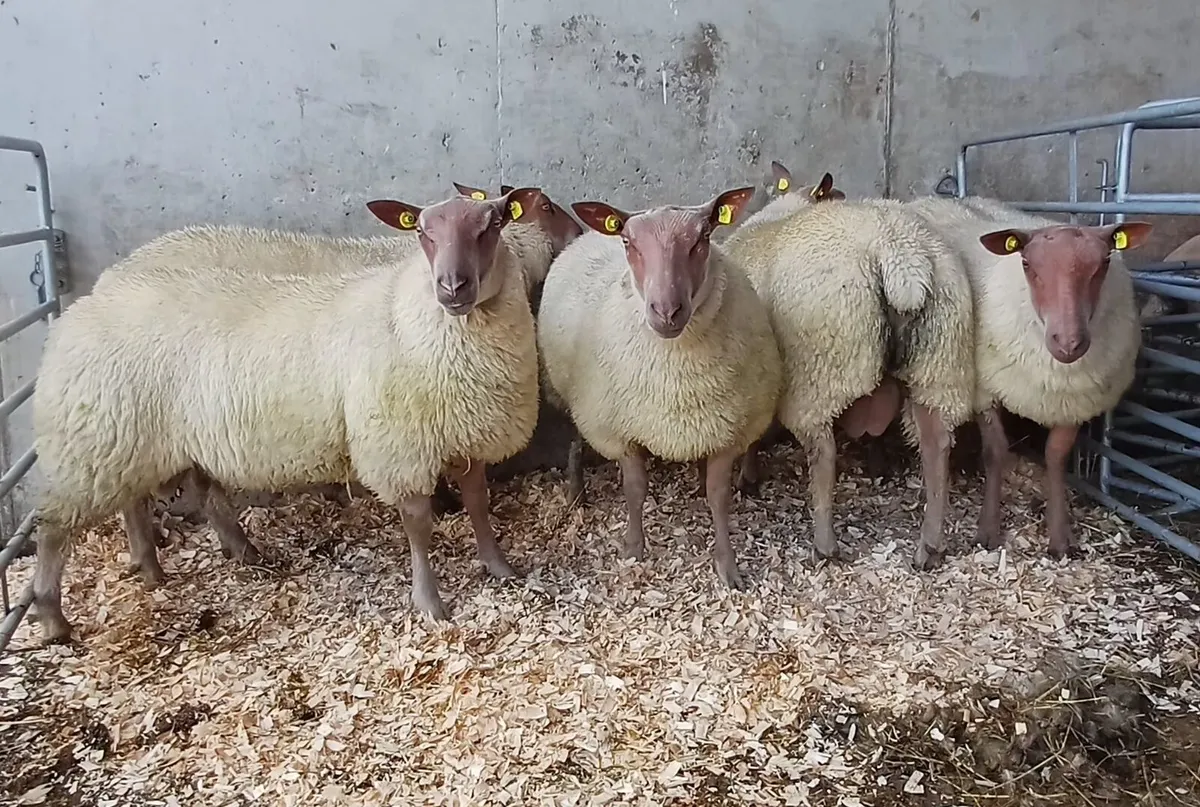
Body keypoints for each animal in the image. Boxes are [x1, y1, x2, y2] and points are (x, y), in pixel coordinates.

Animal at [29, 188, 547, 642]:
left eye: (492, 224)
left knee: (176, 495)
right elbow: (418, 526)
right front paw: (430, 602)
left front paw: (499, 567)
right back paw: (53, 615)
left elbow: (478, 502)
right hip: (94, 443)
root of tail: (84, 305)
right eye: (422, 231)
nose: (452, 287)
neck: (406, 315)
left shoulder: (466, 432)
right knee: (55, 529)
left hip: (140, 441)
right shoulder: (399, 447)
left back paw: (198, 560)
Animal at [537, 186, 783, 587]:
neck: (676, 374)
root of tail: (586, 236)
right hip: (574, 396)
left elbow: (718, 496)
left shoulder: (725, 430)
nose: (666, 311)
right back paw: (575, 492)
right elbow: (635, 490)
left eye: (703, 237)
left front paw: (727, 565)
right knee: (575, 436)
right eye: (628, 241)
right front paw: (634, 548)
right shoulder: (622, 430)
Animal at [722, 199, 975, 568]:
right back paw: (929, 546)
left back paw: (824, 544)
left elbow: (754, 434)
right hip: (939, 363)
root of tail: (900, 256)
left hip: (820, 369)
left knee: (824, 452)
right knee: (936, 444)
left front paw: (748, 476)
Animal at [905, 194, 1151, 558]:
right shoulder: (986, 388)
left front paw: (1060, 536)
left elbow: (1056, 457)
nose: (1068, 343)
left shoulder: (1073, 399)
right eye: (1026, 264)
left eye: (1104, 262)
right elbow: (995, 451)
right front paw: (988, 530)